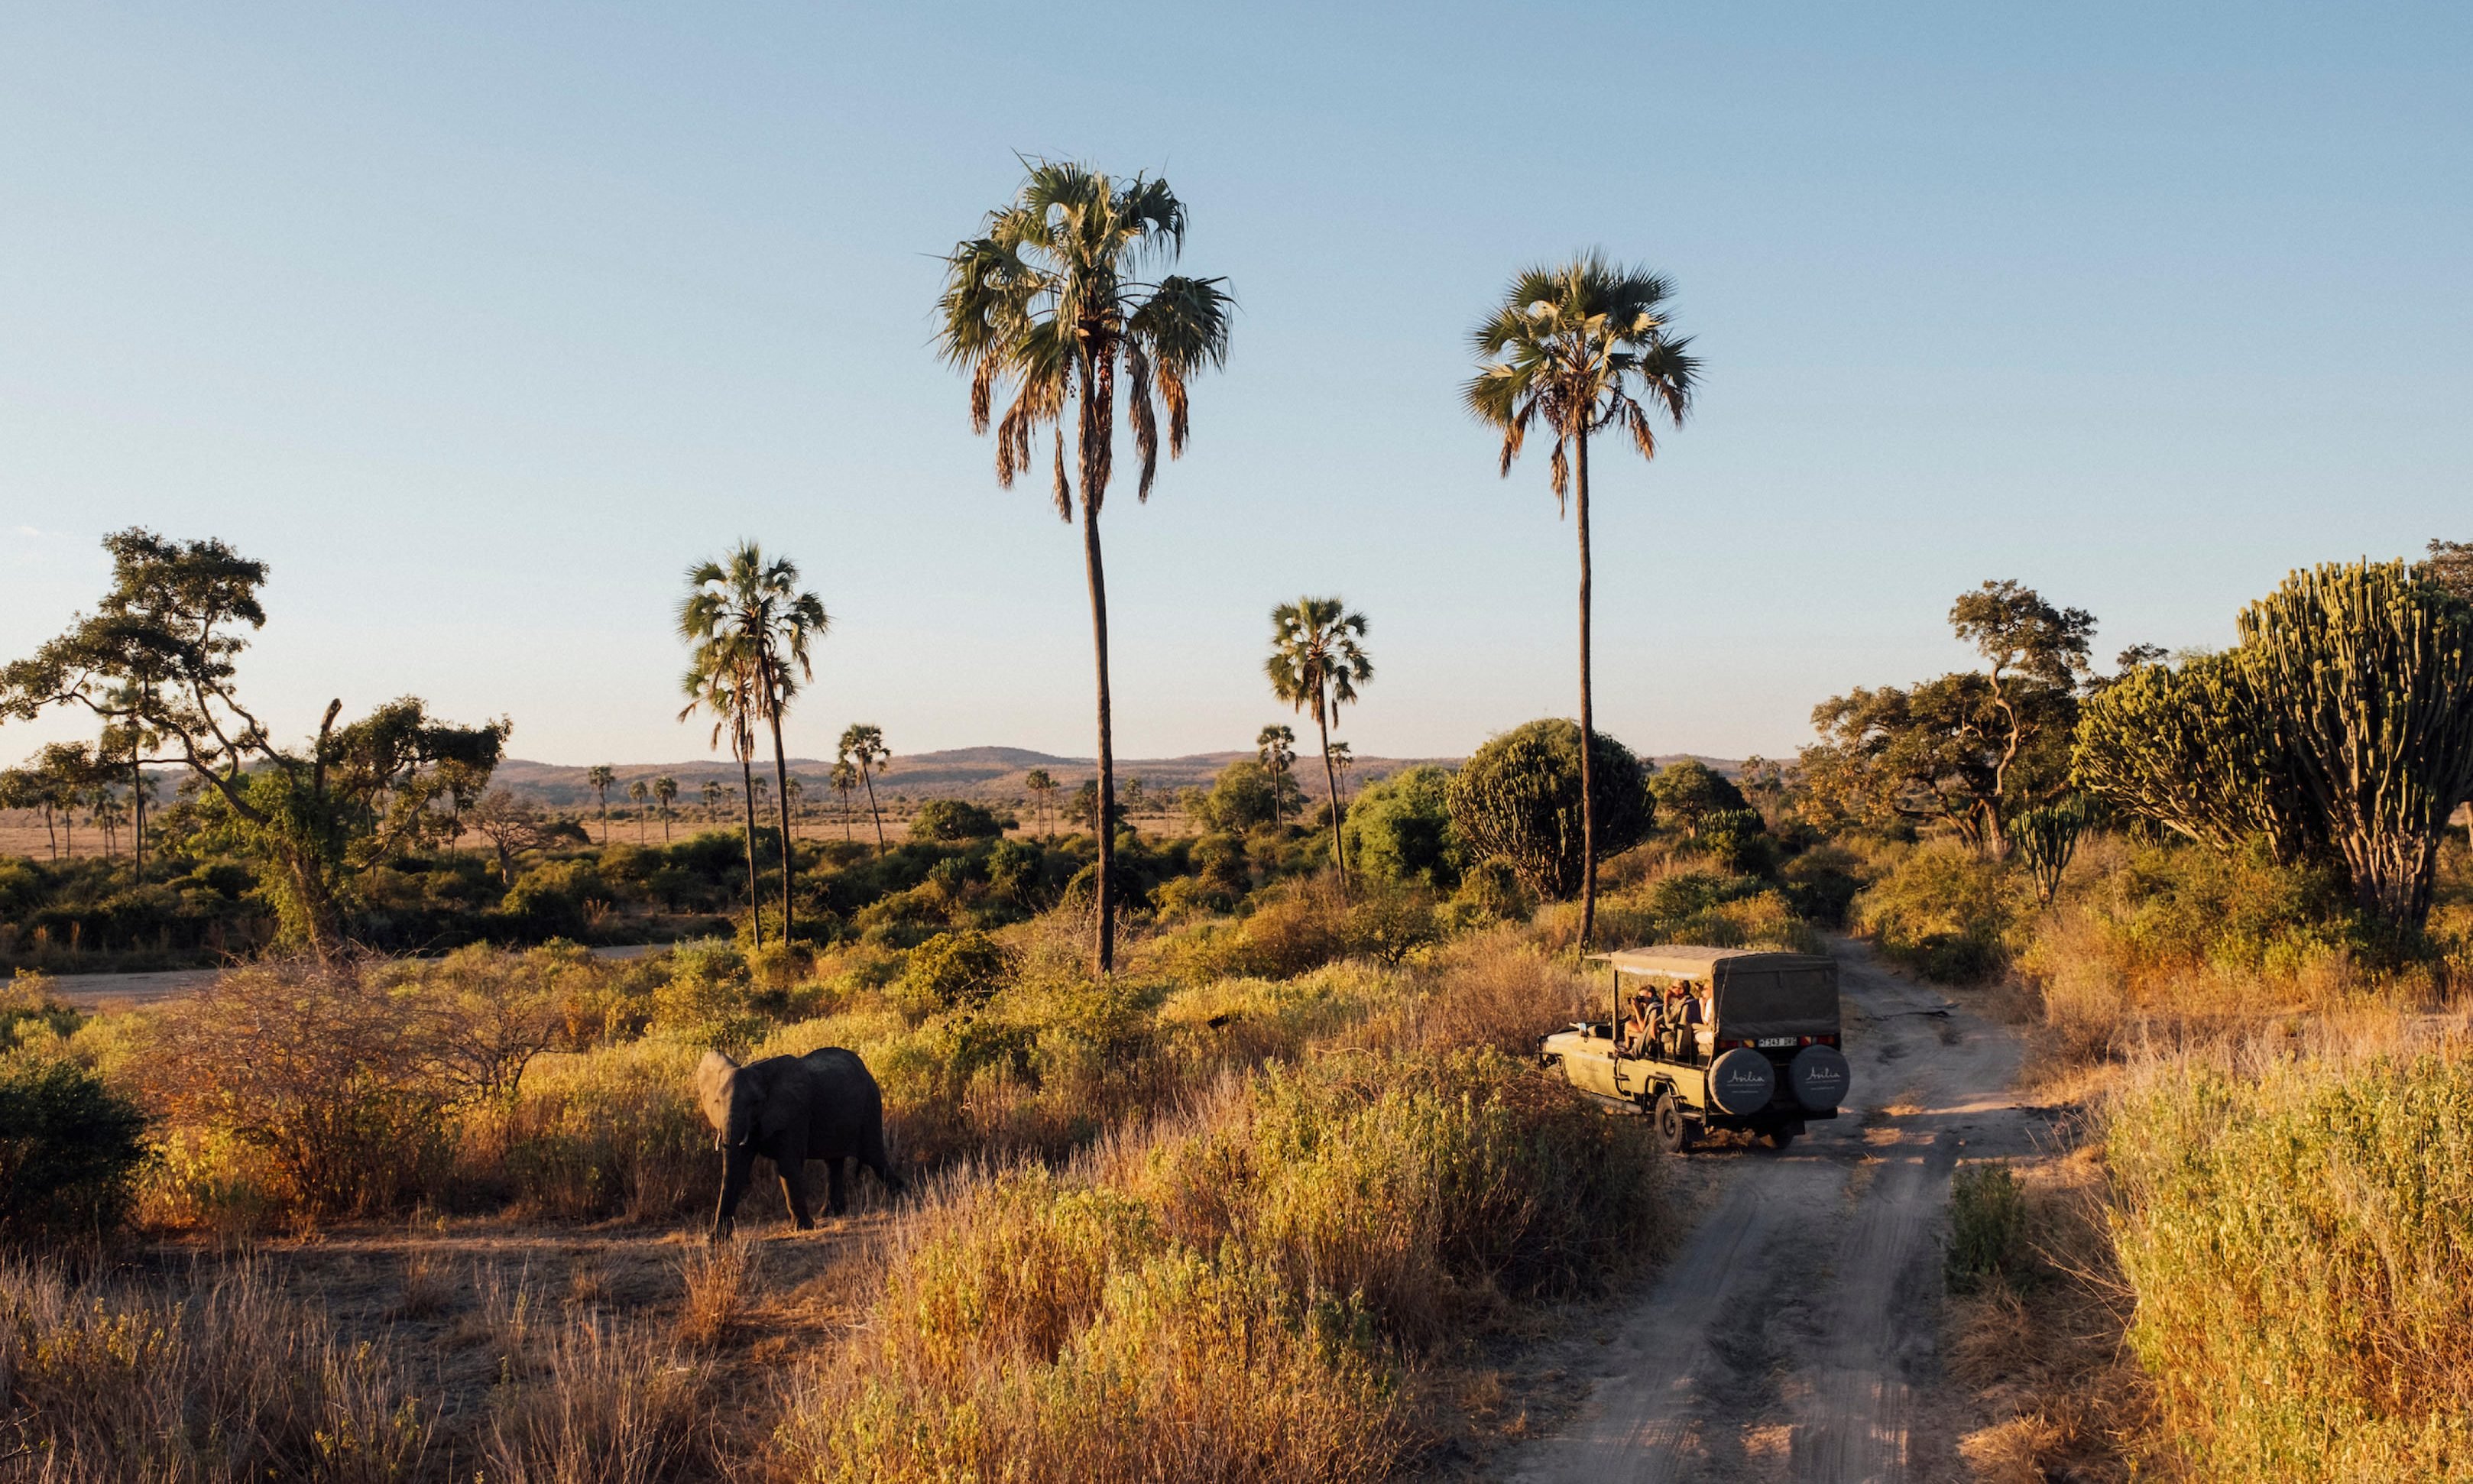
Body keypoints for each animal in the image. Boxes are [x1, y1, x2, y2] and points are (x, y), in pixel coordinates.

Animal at [692, 1043, 905, 1241]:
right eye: (717, 1102)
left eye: (755, 1103)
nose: (711, 1237)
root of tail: (865, 1070)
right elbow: (739, 1168)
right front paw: (715, 1239)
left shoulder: (795, 1114)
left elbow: (788, 1165)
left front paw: (802, 1228)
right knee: (834, 1163)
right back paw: (829, 1213)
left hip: (871, 1106)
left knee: (875, 1157)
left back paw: (904, 1199)